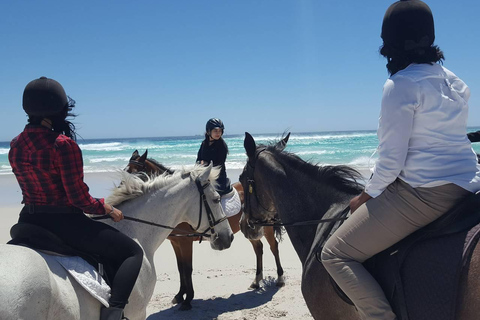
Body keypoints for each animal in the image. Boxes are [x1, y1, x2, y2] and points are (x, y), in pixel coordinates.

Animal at [125, 149, 286, 310]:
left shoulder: (185, 242)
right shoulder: (176, 242)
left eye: (137, 173)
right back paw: (256, 281)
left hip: (265, 228)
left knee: (274, 247)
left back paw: (280, 278)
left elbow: (187, 268)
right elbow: (180, 268)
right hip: (250, 230)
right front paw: (180, 295)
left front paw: (188, 299)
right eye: (126, 171)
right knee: (258, 248)